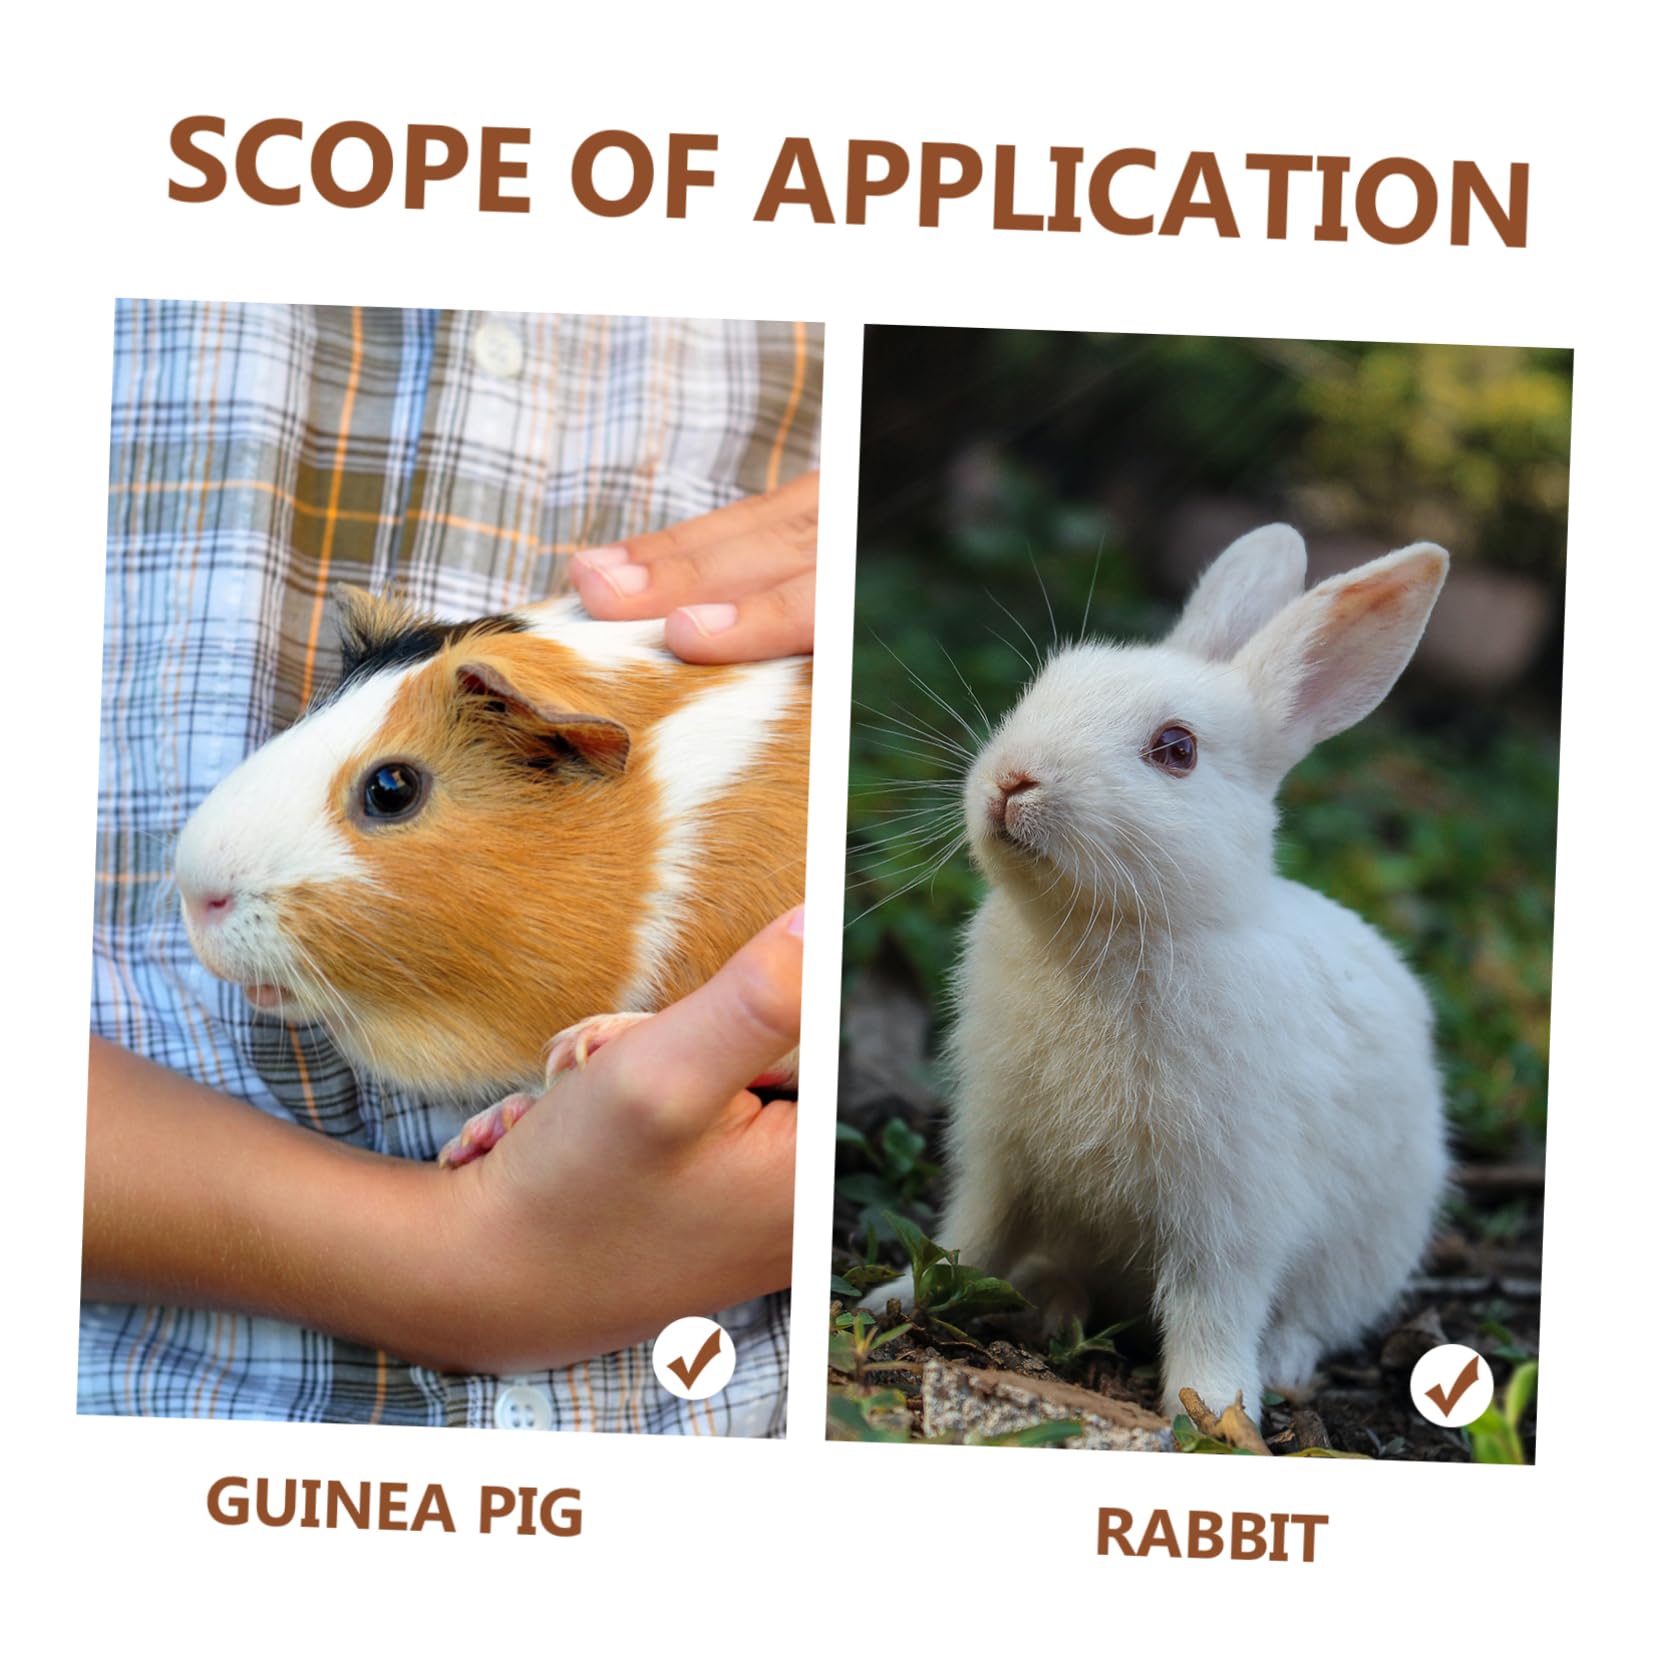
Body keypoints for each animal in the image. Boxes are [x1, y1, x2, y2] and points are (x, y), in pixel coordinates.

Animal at [862, 525, 1450, 1421]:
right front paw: (895, 1299)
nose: (1012, 779)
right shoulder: (999, 1154)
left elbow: (1214, 1305)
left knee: (1314, 1317)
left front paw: (1211, 1411)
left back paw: (1280, 1363)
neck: (1104, 934)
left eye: (1177, 750)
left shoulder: (1231, 1206)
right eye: (1044, 687)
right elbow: (970, 1236)